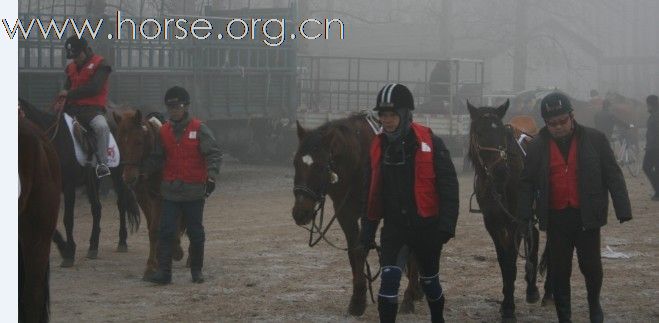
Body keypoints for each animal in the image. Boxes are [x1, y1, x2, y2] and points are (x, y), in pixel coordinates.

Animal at [18, 98, 140, 268]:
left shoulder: (68, 186)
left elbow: (67, 219)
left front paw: (69, 252)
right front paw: (64, 249)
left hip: (118, 174)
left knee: (121, 204)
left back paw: (122, 241)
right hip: (92, 181)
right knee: (97, 208)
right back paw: (93, 246)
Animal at [113, 109, 186, 280]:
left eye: (139, 141)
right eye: (119, 142)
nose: (129, 177)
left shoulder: (159, 196)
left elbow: (155, 228)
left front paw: (152, 266)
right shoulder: (143, 196)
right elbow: (152, 226)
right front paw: (154, 261)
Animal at [292, 115, 426, 318]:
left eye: (321, 166)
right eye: (295, 163)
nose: (300, 212)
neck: (356, 164)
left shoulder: (368, 213)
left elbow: (360, 250)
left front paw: (358, 301)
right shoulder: (344, 213)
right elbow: (353, 252)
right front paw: (358, 297)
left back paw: (410, 296)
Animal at [466, 101, 556, 323]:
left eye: (501, 133)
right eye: (479, 132)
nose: (500, 171)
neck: (500, 186)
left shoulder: (514, 222)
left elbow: (511, 262)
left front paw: (508, 307)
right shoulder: (494, 224)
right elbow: (503, 261)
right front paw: (507, 301)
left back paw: (548, 292)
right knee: (534, 238)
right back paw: (532, 288)